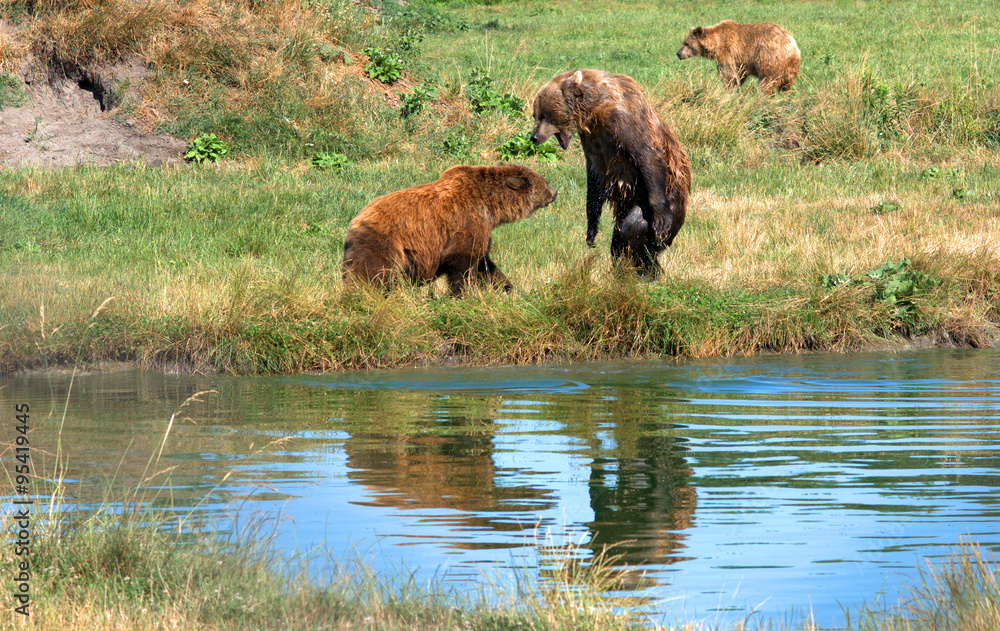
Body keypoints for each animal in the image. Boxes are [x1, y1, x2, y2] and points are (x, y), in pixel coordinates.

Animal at [342, 163, 557, 294]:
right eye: (545, 183)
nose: (555, 192)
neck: (490, 207)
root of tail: (355, 220)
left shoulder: (481, 228)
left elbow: (485, 264)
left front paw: (506, 287)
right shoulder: (466, 221)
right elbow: (463, 261)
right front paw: (463, 293)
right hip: (383, 241)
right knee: (371, 272)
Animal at [530, 68, 691, 276]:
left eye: (544, 114)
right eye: (535, 114)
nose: (533, 137)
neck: (593, 110)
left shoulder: (623, 122)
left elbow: (647, 158)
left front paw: (662, 220)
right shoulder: (593, 141)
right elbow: (594, 180)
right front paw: (591, 231)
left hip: (662, 199)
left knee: (632, 228)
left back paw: (648, 268)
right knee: (618, 240)